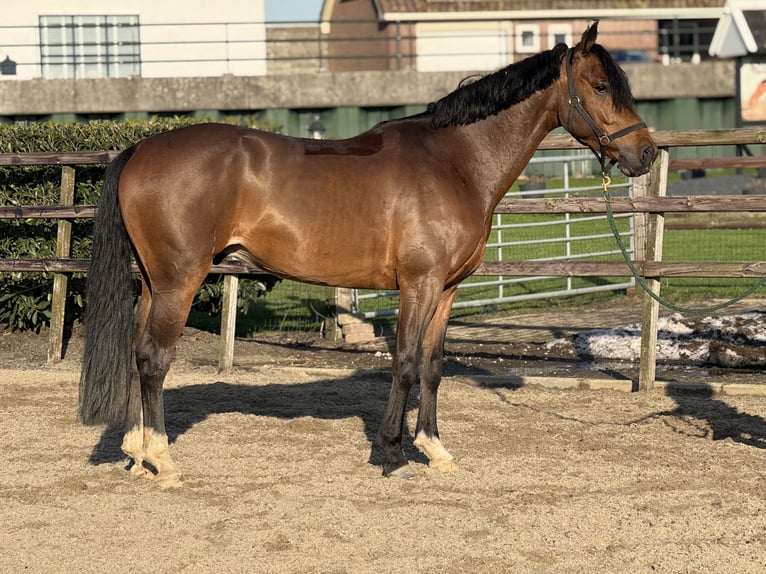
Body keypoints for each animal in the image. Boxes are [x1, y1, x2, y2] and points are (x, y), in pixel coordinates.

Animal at [79, 21, 657, 487]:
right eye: (601, 86)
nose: (646, 153)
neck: (455, 163)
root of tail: (140, 148)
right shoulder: (418, 284)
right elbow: (404, 363)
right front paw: (393, 454)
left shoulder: (446, 290)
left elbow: (432, 366)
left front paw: (435, 449)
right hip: (180, 280)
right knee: (154, 358)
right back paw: (163, 460)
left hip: (153, 281)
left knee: (136, 350)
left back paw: (136, 454)